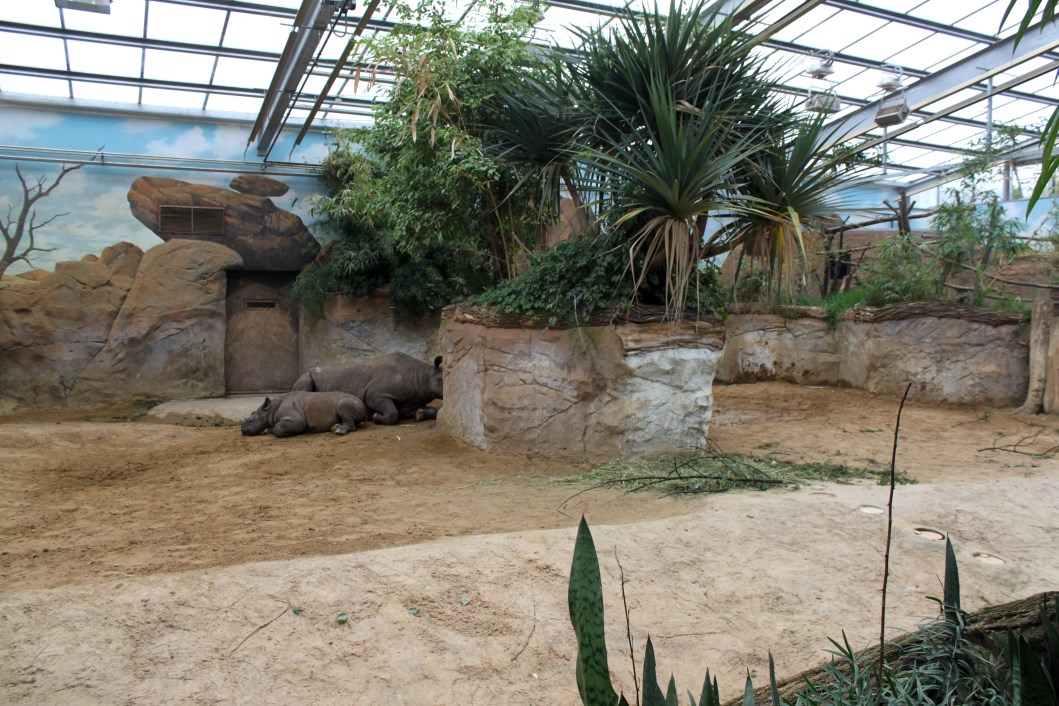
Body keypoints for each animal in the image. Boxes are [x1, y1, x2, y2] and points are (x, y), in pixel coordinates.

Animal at [291, 352, 443, 425]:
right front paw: (376, 417)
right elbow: (392, 413)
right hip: (306, 376)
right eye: (442, 381)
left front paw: (419, 414)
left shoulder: (412, 401)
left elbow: (431, 410)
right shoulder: (375, 394)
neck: (423, 376)